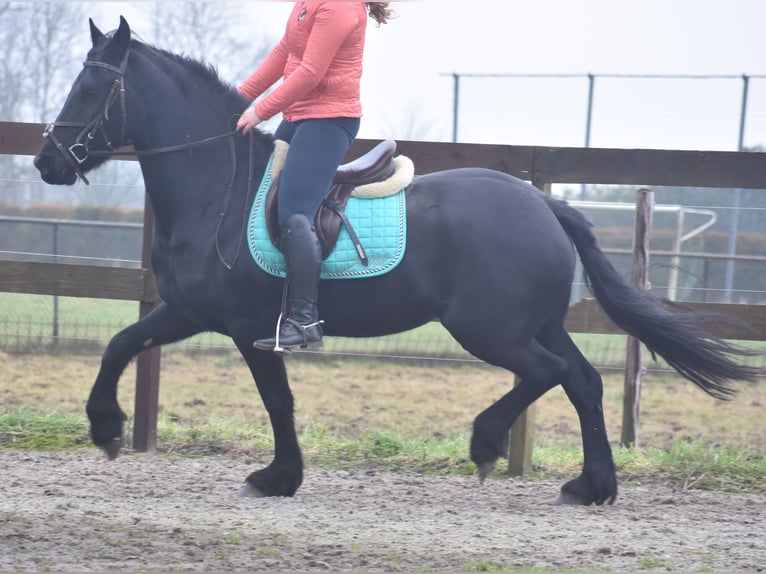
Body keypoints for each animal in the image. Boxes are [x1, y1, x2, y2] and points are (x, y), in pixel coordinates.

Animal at [34, 18, 756, 506]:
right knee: (581, 381)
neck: (218, 185)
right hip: (536, 324)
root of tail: (543, 204)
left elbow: (277, 400)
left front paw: (277, 478)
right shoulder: (186, 311)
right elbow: (121, 344)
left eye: (91, 86)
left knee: (548, 374)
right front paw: (106, 427)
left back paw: (488, 443)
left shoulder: (249, 329)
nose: (46, 162)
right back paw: (591, 485)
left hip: (492, 330)